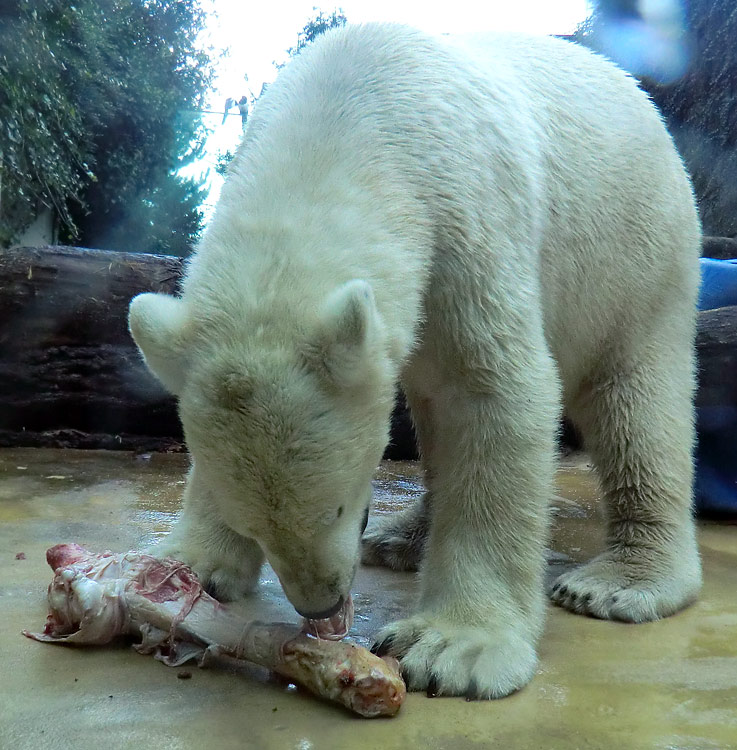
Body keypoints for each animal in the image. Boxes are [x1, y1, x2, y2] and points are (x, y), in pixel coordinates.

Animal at [126, 25, 700, 704]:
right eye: (256, 525)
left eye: (340, 506)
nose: (322, 606)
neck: (347, 115)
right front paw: (183, 565)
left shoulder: (465, 216)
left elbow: (491, 392)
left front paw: (453, 647)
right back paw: (401, 538)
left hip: (636, 254)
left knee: (636, 399)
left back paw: (620, 581)